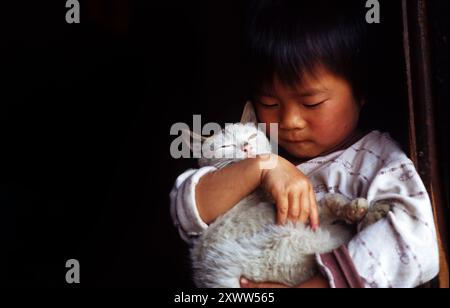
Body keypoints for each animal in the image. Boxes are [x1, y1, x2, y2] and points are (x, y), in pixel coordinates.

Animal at [186, 102, 380, 288]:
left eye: (251, 137)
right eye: (226, 146)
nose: (246, 147)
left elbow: (326, 202)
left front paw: (352, 209)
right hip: (286, 243)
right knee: (335, 237)